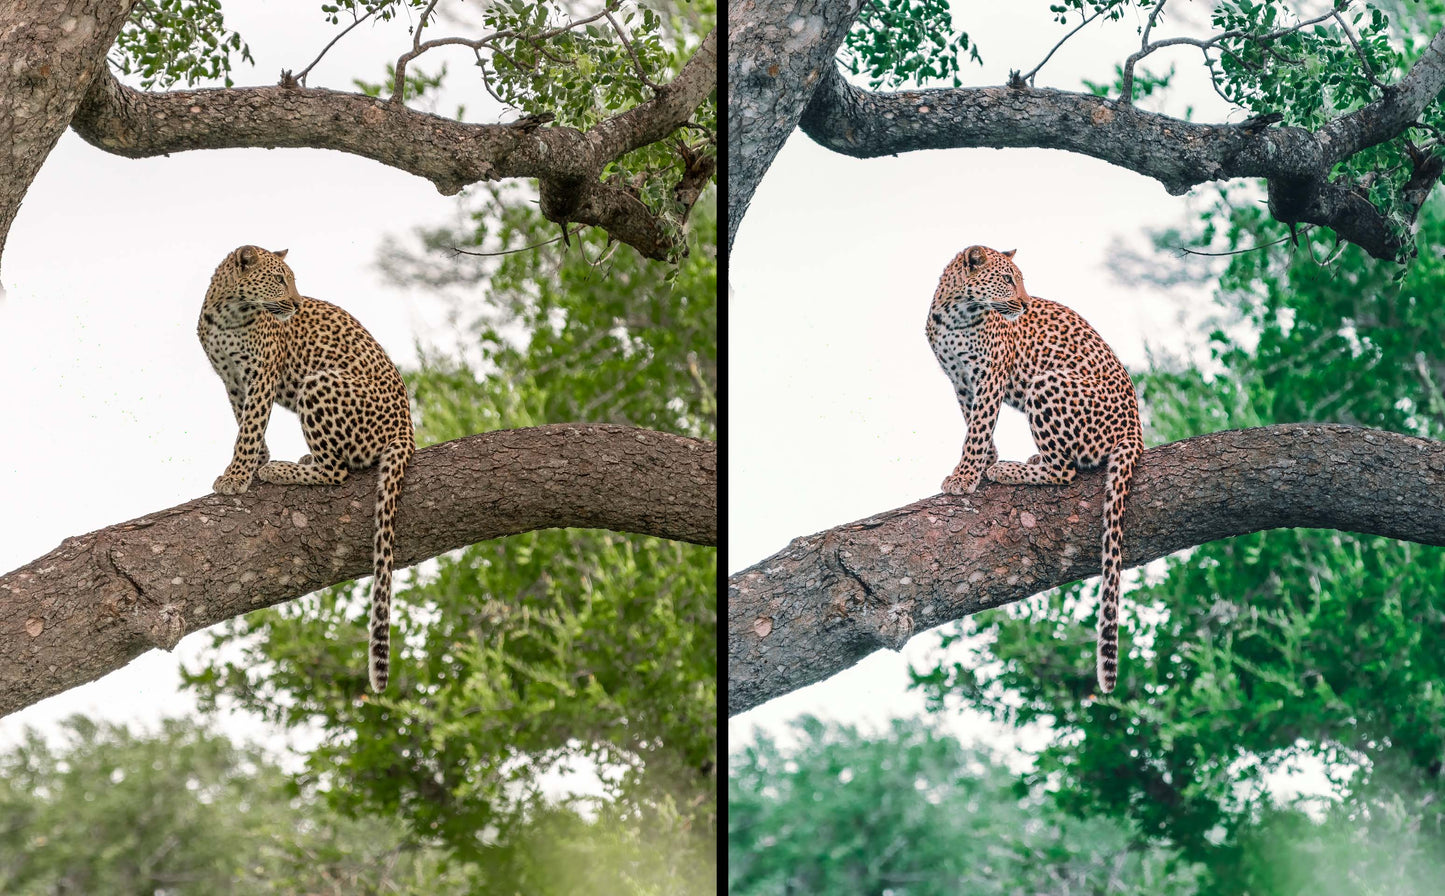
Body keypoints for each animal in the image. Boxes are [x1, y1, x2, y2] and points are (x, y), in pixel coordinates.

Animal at [198, 245, 415, 692]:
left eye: (292, 279)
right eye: (279, 279)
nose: (297, 304)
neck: (229, 311)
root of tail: (407, 428)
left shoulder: (261, 373)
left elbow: (249, 425)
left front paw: (239, 476)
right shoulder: (231, 379)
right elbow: (245, 421)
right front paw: (254, 462)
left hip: (318, 383)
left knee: (338, 472)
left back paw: (283, 470)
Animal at [926, 245, 1144, 694]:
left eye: (1021, 279)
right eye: (1008, 279)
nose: (1025, 304)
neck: (957, 312)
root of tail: (1135, 429)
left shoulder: (989, 375)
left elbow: (977, 427)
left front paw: (968, 475)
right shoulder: (960, 380)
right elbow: (973, 422)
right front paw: (982, 463)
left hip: (1046, 383)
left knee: (1065, 471)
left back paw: (1011, 470)